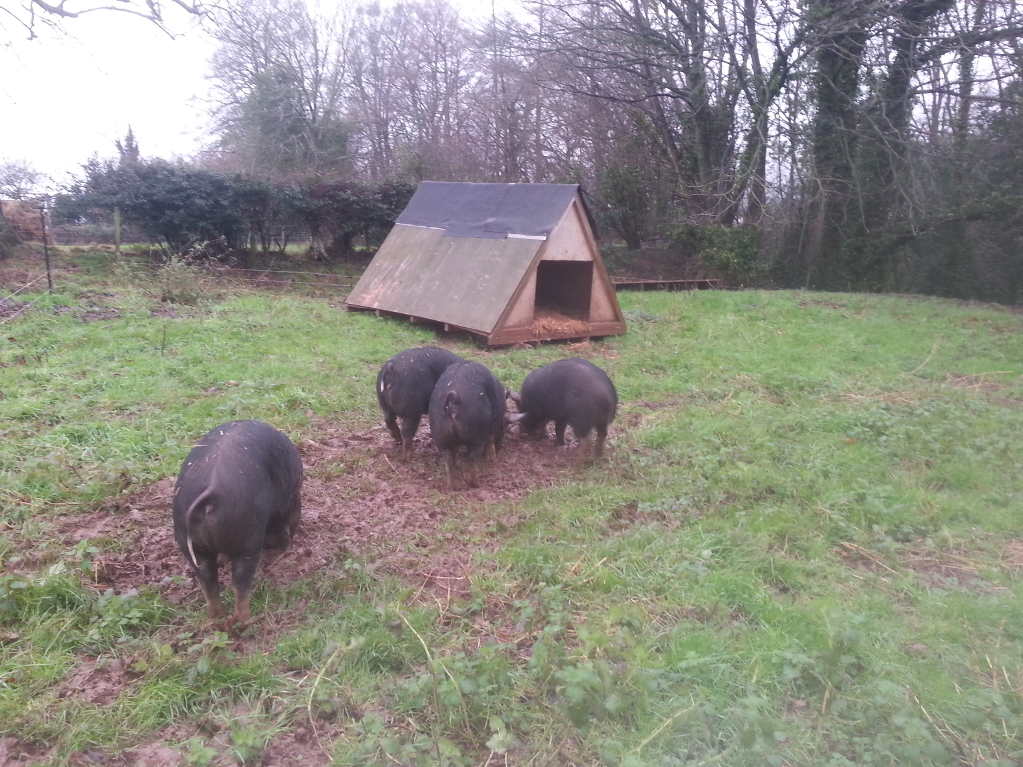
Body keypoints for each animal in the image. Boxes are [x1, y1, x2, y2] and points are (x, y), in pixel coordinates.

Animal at [172, 420, 303, 624]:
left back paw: (217, 620)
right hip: (247, 540)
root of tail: (212, 493)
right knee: (240, 583)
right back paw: (246, 620)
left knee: (208, 581)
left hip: (189, 542)